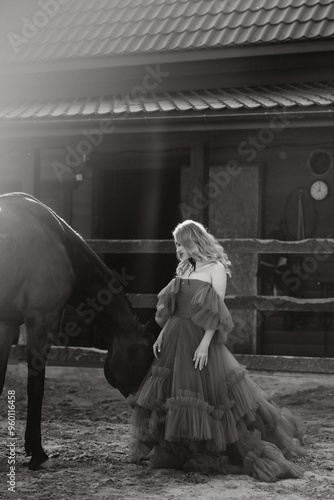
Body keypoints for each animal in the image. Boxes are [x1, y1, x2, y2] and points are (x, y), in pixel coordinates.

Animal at [0, 190, 159, 468]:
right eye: (146, 363)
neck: (60, 243)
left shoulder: (7, 323)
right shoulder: (42, 321)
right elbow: (36, 387)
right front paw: (37, 453)